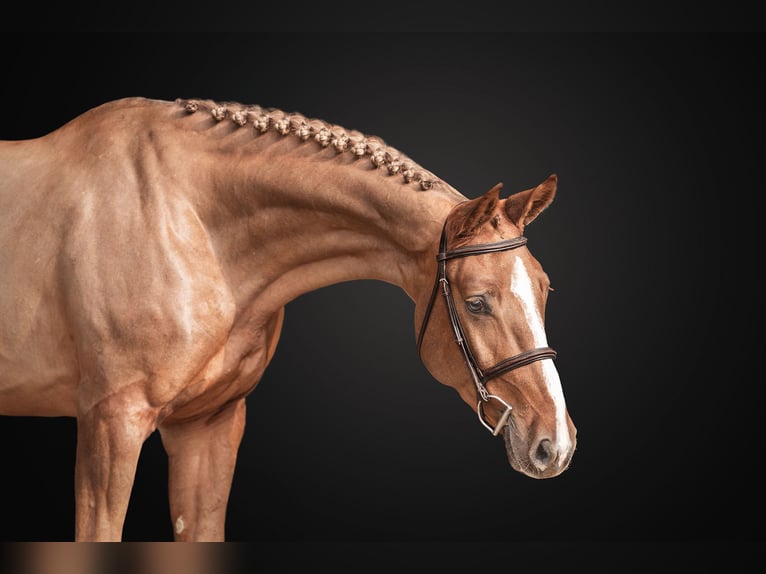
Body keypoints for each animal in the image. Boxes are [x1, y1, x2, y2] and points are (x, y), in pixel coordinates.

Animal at [0, 97, 577, 541]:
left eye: (544, 289)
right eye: (476, 302)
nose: (556, 443)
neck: (187, 220)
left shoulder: (208, 426)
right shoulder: (111, 424)